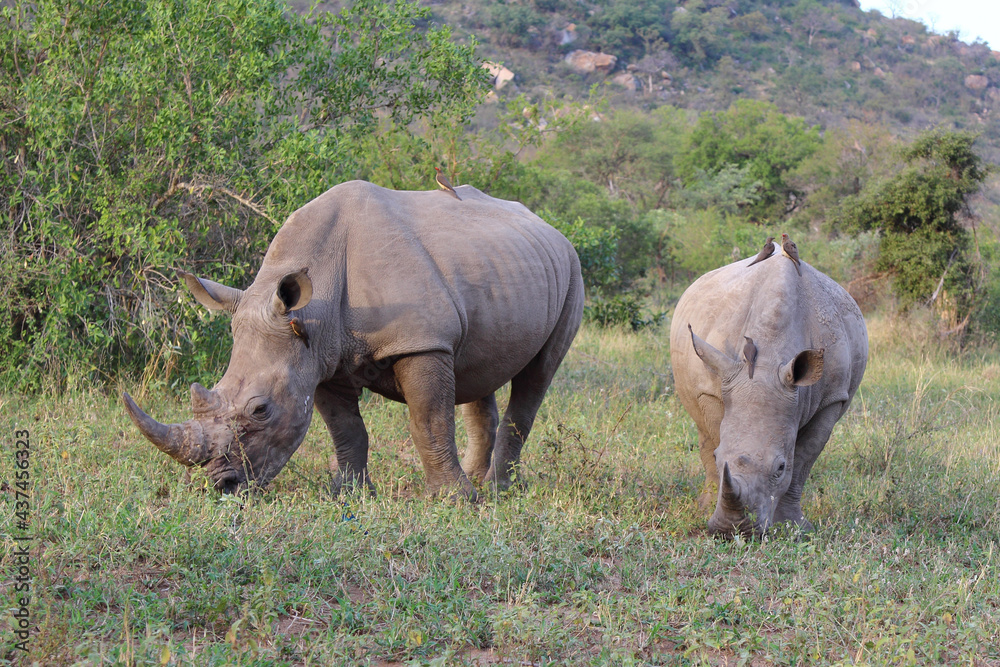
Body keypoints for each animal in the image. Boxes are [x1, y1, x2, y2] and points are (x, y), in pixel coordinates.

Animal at [123, 180, 584, 500]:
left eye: (260, 410)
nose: (222, 486)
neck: (313, 307)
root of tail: (549, 227)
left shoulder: (420, 340)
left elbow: (428, 420)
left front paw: (453, 502)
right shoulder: (320, 354)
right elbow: (345, 427)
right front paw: (348, 493)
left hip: (572, 269)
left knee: (538, 374)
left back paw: (496, 490)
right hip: (503, 268)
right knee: (477, 372)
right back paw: (476, 481)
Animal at [669, 252, 868, 537]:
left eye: (780, 468)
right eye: (720, 458)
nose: (733, 529)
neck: (766, 362)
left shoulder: (832, 399)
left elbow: (803, 459)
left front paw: (794, 525)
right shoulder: (717, 385)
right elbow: (713, 439)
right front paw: (709, 508)